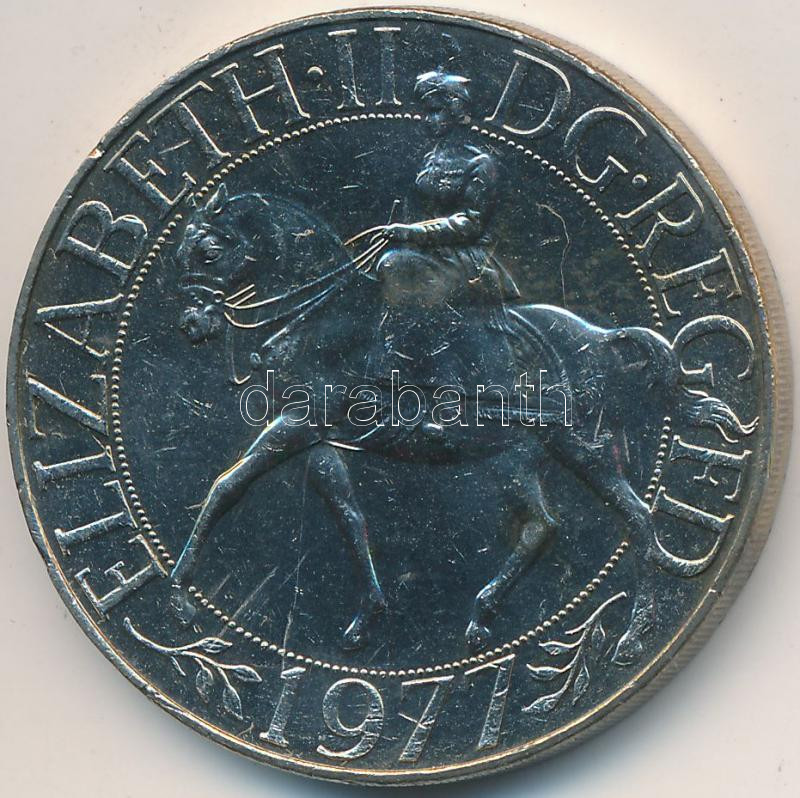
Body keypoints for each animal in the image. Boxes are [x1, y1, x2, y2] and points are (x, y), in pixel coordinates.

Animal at [167, 184, 756, 664]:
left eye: (210, 251)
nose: (192, 323)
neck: (327, 314)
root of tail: (602, 339)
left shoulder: (298, 422)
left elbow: (226, 486)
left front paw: (180, 591)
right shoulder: (320, 437)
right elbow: (349, 515)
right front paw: (368, 615)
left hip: (580, 448)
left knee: (636, 518)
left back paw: (633, 636)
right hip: (516, 457)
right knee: (543, 525)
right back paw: (481, 615)